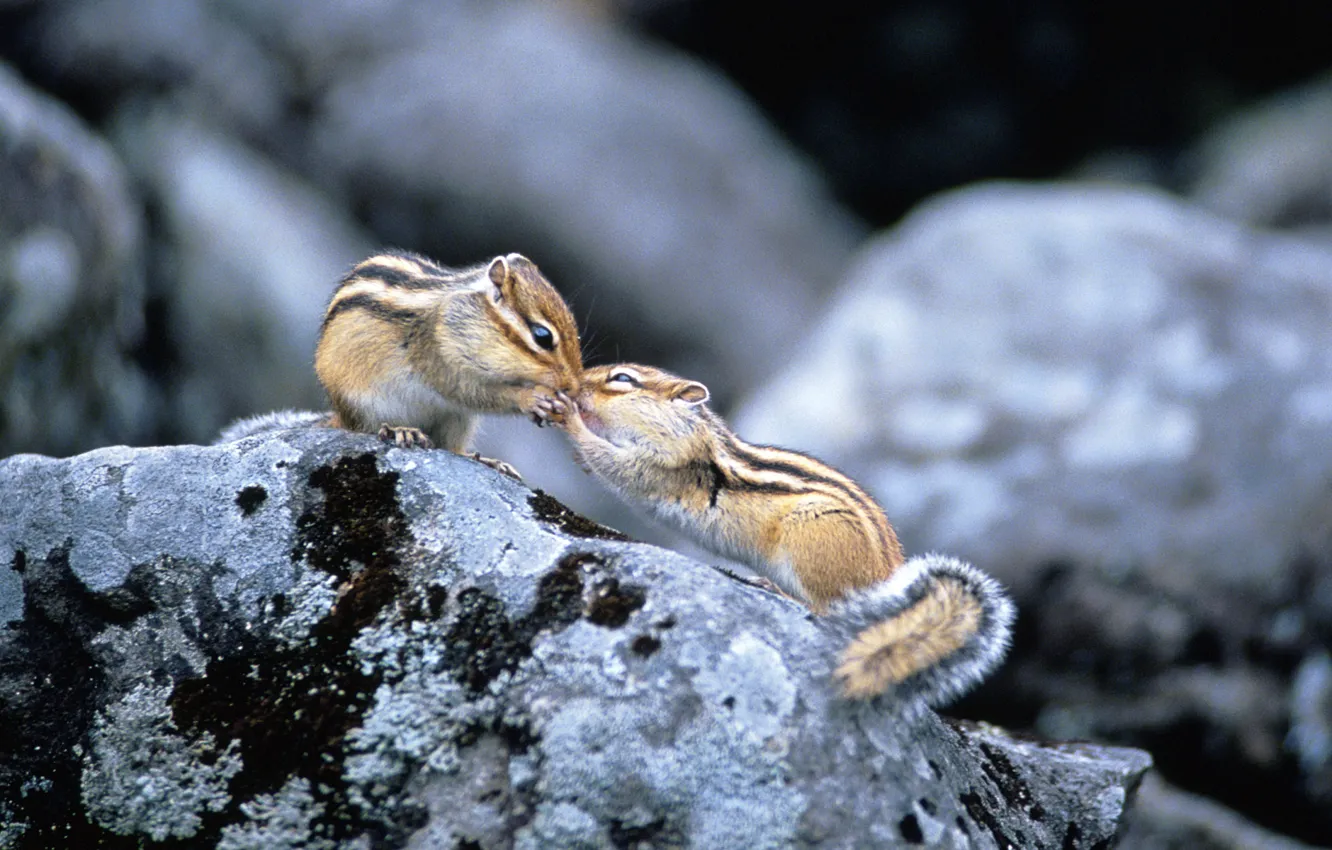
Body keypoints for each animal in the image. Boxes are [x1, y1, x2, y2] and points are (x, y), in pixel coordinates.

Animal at [217, 250, 583, 477]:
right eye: (542, 336)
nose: (574, 388)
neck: (468, 317)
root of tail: (339, 416)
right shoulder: (437, 355)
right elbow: (471, 392)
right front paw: (532, 398)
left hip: (458, 420)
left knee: (452, 447)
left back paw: (487, 461)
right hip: (367, 404)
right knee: (367, 430)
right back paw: (399, 430)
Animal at [534, 364, 1014, 709]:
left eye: (622, 379)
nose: (575, 384)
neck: (698, 434)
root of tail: (888, 582)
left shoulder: (660, 465)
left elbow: (618, 467)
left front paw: (571, 418)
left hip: (811, 539)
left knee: (825, 608)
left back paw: (774, 588)